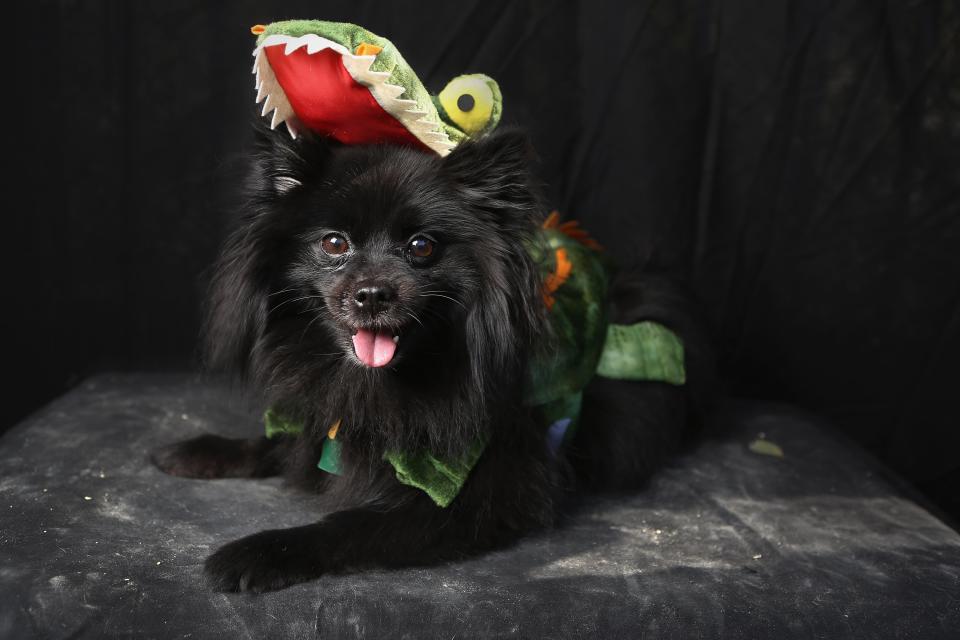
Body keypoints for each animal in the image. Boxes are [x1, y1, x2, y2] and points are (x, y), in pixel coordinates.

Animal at [152, 119, 712, 592]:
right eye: (334, 244)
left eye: (421, 247)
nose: (372, 293)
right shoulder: (333, 418)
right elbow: (278, 442)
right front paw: (201, 450)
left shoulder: (472, 494)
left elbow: (348, 525)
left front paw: (260, 553)